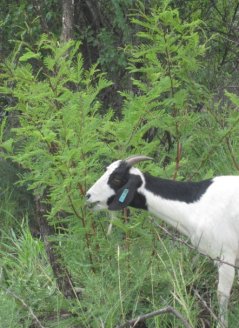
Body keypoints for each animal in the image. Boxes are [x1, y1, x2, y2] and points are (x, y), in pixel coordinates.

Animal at [87, 155, 239, 326]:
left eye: (117, 178)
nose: (88, 196)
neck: (198, 205)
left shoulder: (226, 256)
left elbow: (222, 294)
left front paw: (222, 324)